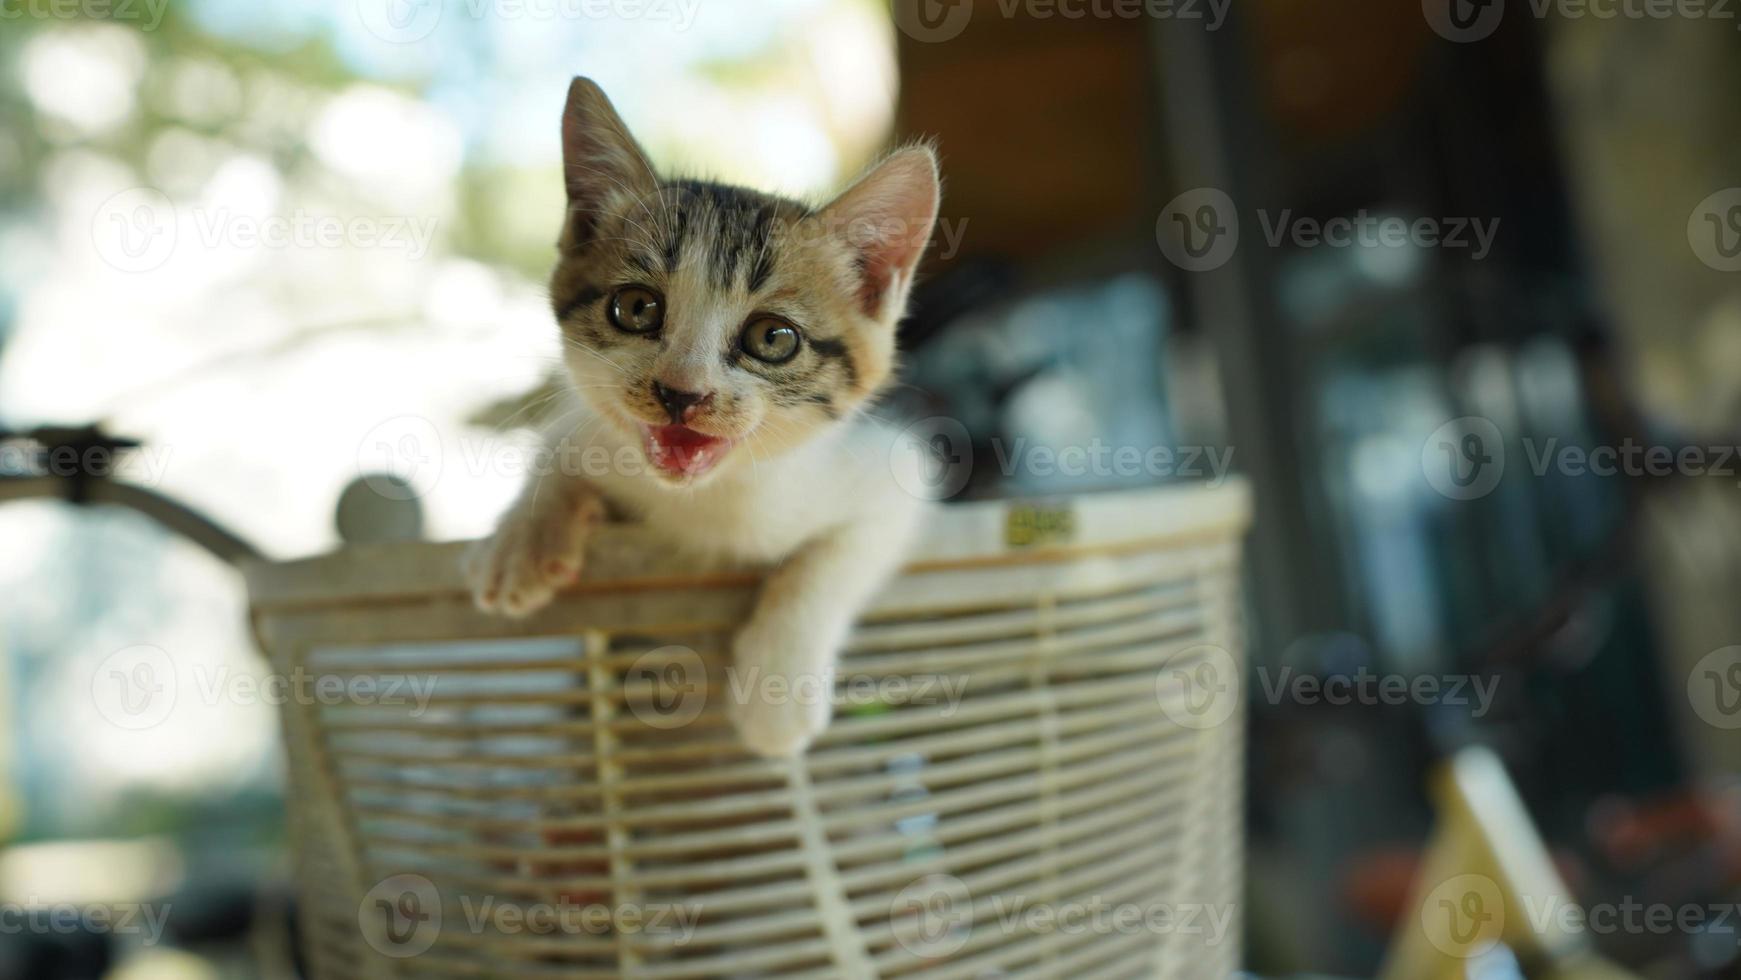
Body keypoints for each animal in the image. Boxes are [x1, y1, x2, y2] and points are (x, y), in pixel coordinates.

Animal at [466, 78, 940, 758]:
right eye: (636, 306)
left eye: (773, 338)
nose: (681, 394)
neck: (702, 501)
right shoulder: (587, 428)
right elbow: (560, 446)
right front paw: (522, 539)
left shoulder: (892, 470)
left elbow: (829, 561)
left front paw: (777, 692)